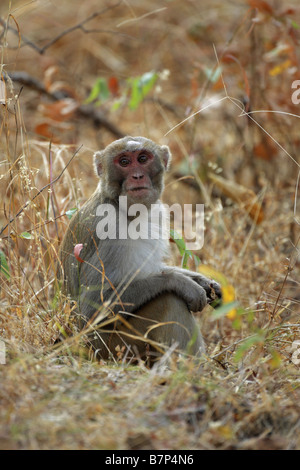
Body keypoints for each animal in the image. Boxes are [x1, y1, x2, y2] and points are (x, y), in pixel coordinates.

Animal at [58, 138, 221, 362]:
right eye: (124, 162)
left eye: (143, 159)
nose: (137, 176)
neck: (123, 208)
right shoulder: (110, 231)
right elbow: (92, 308)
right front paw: (181, 283)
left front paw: (202, 281)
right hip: (111, 348)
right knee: (169, 300)